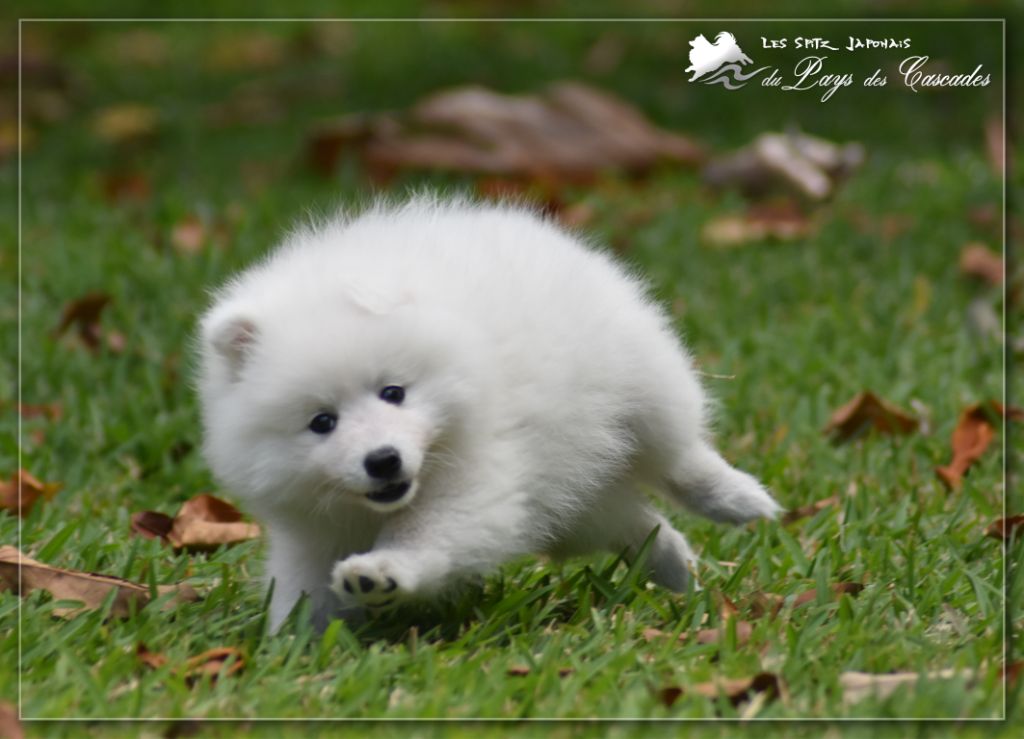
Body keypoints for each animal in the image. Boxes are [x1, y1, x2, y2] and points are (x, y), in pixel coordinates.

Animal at [198, 197, 780, 632]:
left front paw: (383, 570)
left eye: (393, 392)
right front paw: (294, 645)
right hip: (570, 503)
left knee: (677, 455)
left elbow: (433, 532)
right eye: (322, 422)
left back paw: (738, 499)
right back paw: (676, 567)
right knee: (636, 521)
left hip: (643, 385)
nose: (383, 460)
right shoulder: (312, 526)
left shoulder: (477, 473)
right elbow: (304, 582)